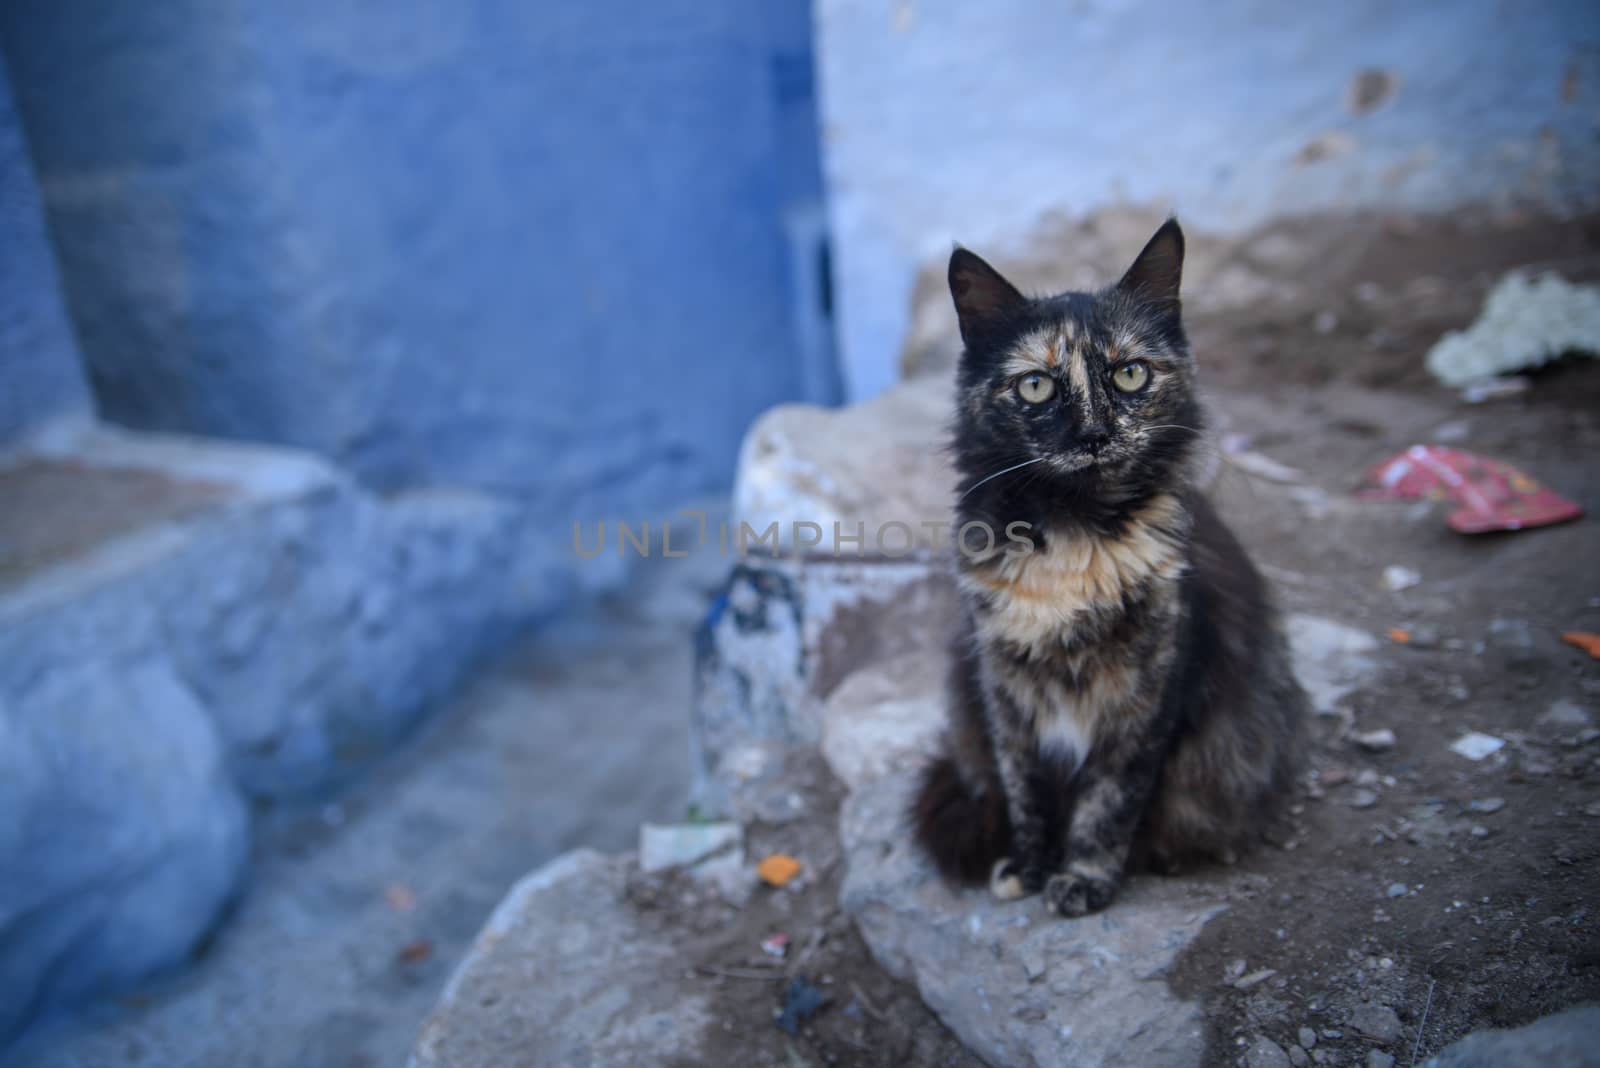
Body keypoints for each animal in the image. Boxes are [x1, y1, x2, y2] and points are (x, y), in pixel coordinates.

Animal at [908, 220, 1305, 914]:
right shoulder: (1005, 690)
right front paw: (1030, 867)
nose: (1093, 434)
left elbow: (1109, 800)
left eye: (1130, 374)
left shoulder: (1147, 694)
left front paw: (1084, 880)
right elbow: (1025, 791)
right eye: (1036, 385)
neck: (1076, 534)